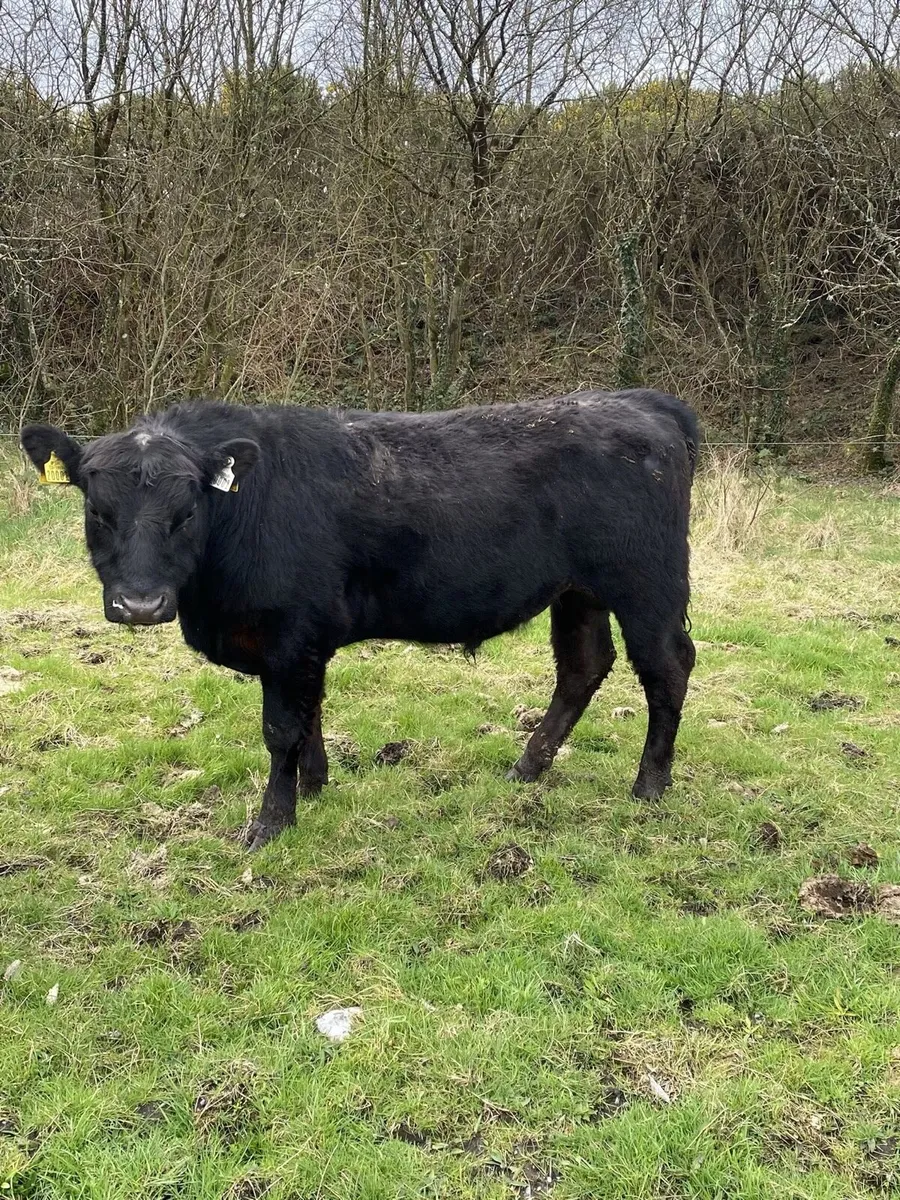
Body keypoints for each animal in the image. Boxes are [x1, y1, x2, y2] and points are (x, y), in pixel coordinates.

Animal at [21, 389, 699, 850]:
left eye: (186, 511)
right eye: (98, 510)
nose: (140, 605)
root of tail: (637, 400)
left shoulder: (289, 634)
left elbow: (281, 729)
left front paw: (272, 821)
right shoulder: (302, 643)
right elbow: (310, 714)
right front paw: (314, 784)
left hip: (647, 583)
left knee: (666, 666)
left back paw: (649, 785)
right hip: (579, 591)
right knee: (583, 667)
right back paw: (528, 767)